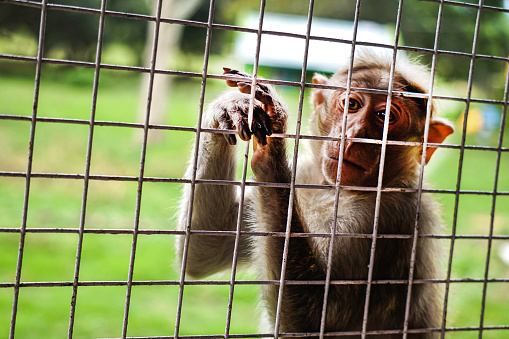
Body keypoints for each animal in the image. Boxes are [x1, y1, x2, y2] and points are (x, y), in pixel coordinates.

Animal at [176, 49, 452, 338]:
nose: (353, 135)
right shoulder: (305, 172)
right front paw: (231, 106)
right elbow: (202, 249)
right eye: (352, 104)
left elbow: (311, 323)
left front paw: (274, 134)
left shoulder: (391, 214)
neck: (332, 191)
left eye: (385, 116)